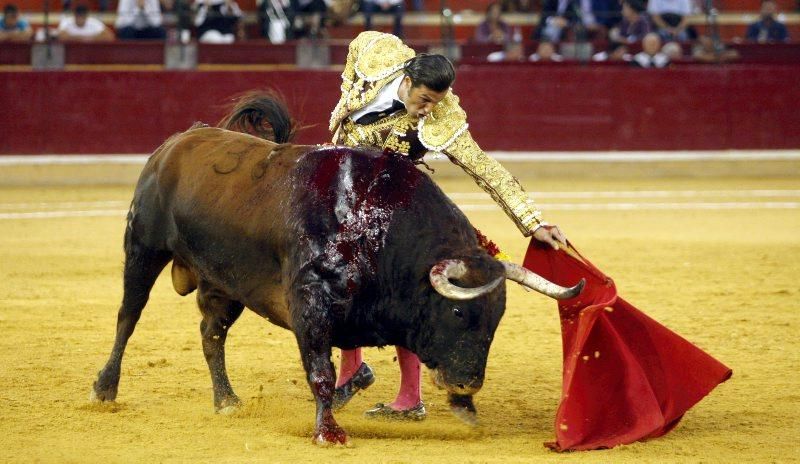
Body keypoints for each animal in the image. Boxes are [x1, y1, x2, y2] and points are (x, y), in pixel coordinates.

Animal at [90, 98, 584, 446]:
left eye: (497, 318)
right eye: (460, 314)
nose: (468, 383)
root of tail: (179, 141)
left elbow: (361, 368)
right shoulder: (310, 305)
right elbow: (322, 373)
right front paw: (328, 432)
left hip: (225, 282)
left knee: (212, 334)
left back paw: (227, 401)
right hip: (142, 248)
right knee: (128, 317)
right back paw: (104, 389)